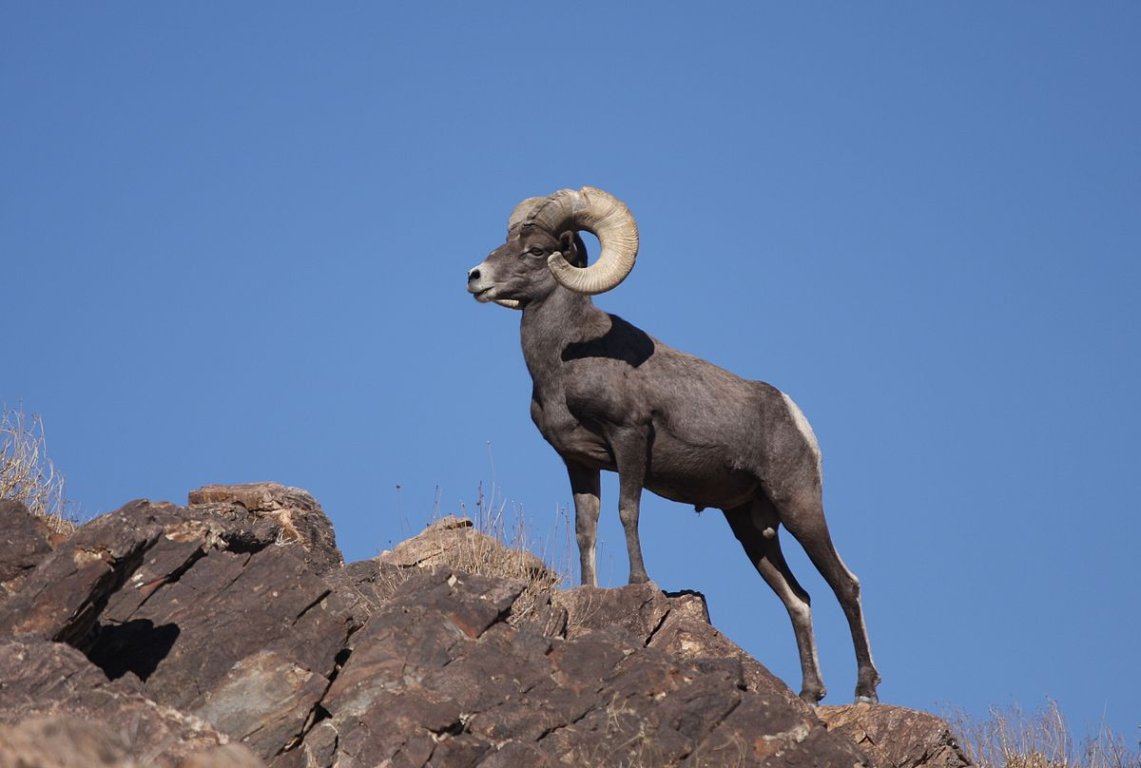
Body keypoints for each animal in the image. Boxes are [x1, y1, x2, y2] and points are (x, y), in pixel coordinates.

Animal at [463, 186, 880, 702]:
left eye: (537, 250)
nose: (475, 277)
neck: (563, 360)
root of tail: (792, 414)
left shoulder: (630, 439)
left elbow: (627, 511)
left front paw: (639, 582)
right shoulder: (578, 462)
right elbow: (586, 529)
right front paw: (590, 589)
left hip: (798, 505)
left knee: (846, 585)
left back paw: (865, 690)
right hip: (749, 527)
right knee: (798, 599)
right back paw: (809, 693)